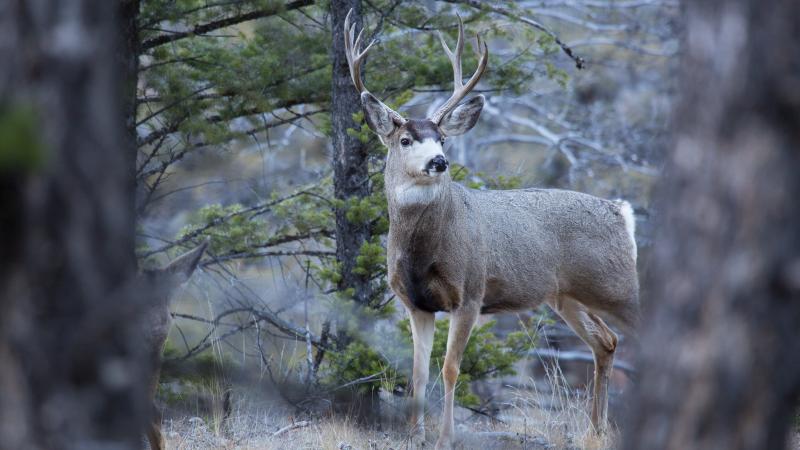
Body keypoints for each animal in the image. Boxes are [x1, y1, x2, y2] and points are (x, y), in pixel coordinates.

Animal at [343, 11, 639, 449]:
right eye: (405, 139)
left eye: (442, 138)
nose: (439, 162)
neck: (422, 252)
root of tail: (622, 212)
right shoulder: (415, 302)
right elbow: (417, 373)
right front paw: (414, 435)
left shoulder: (470, 292)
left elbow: (450, 368)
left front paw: (445, 437)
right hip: (567, 296)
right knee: (606, 342)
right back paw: (594, 431)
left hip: (618, 287)